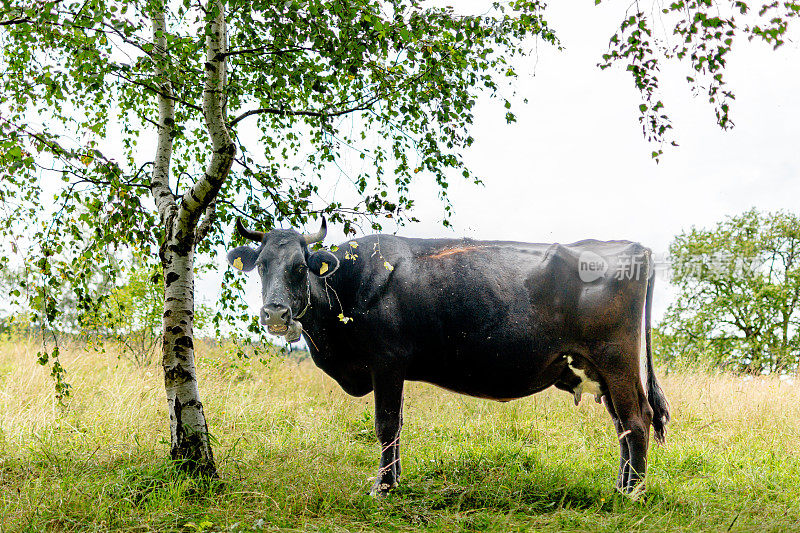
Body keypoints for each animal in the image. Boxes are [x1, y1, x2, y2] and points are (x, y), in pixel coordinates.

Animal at [228, 216, 672, 494]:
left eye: (299, 267)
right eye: (262, 265)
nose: (275, 313)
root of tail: (635, 248)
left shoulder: (387, 362)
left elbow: (387, 425)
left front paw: (383, 487)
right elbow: (396, 426)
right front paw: (394, 480)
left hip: (617, 360)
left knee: (637, 418)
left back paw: (630, 494)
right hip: (599, 368)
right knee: (622, 425)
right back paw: (621, 485)